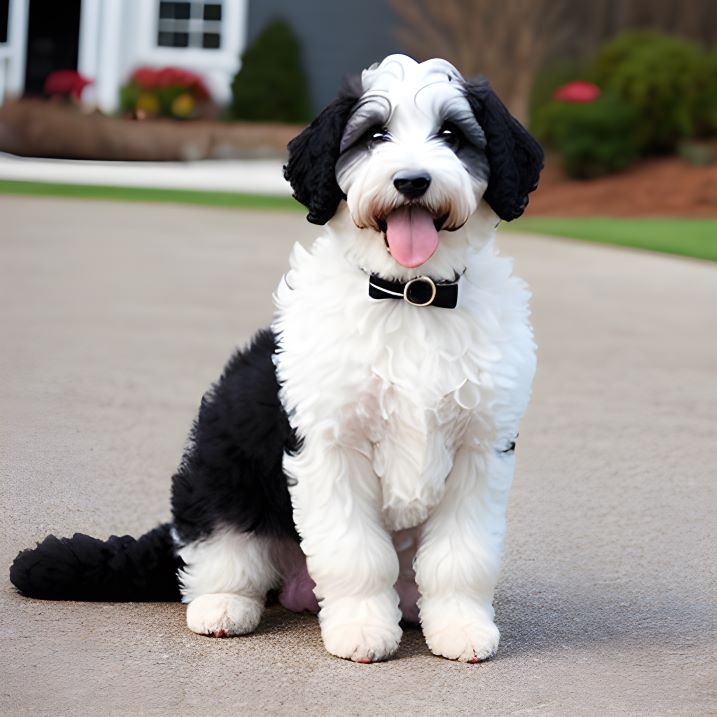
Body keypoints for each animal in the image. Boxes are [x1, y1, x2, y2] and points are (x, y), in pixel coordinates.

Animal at [11, 53, 544, 664]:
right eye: (374, 136)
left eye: (453, 136)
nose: (412, 181)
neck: (410, 296)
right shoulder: (330, 447)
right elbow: (355, 553)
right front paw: (363, 628)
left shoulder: (479, 449)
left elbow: (461, 556)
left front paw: (459, 626)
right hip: (220, 475)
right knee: (217, 556)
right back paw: (223, 608)